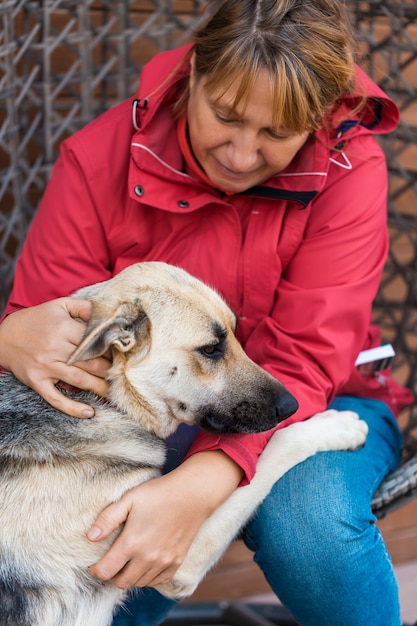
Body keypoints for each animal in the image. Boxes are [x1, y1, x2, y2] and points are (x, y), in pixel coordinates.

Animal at [0, 260, 368, 620]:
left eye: (235, 336)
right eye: (211, 349)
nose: (293, 406)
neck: (103, 397)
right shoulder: (171, 557)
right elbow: (276, 451)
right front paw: (337, 427)